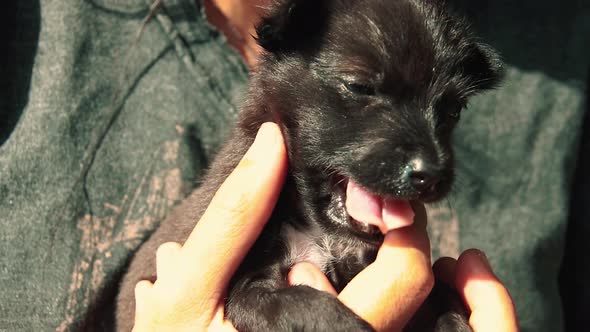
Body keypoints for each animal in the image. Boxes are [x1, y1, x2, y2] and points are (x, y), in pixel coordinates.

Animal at [117, 0, 504, 330]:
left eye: (453, 111)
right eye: (359, 86)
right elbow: (302, 305)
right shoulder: (246, 290)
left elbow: (443, 297)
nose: (432, 176)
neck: (322, 232)